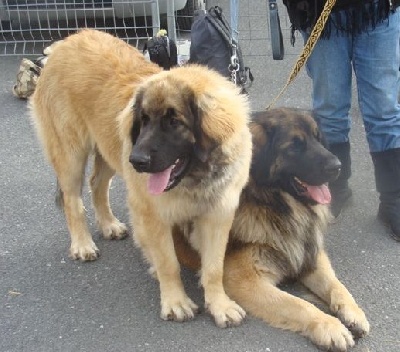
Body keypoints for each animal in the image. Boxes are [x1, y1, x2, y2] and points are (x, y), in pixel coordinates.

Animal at [29, 29, 252, 328]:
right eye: (143, 120)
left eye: (174, 122)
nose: (137, 161)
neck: (196, 177)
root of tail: (64, 42)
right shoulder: (152, 214)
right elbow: (168, 263)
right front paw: (175, 302)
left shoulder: (218, 214)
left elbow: (215, 266)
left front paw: (219, 304)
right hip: (71, 153)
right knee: (72, 199)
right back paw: (82, 244)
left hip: (108, 150)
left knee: (97, 184)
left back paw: (109, 225)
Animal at [173, 108, 370, 350]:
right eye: (295, 145)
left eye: (318, 138)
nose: (338, 166)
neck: (273, 205)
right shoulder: (246, 281)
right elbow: (299, 304)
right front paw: (330, 327)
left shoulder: (308, 254)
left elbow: (336, 285)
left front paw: (353, 312)